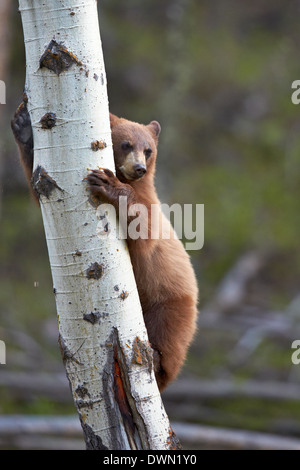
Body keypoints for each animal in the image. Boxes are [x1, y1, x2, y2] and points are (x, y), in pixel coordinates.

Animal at [11, 104, 199, 392]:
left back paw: (156, 360)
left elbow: (145, 230)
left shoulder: (152, 209)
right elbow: (41, 186)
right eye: (125, 143)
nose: (139, 168)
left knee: (170, 340)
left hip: (171, 304)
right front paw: (23, 126)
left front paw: (109, 184)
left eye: (148, 149)